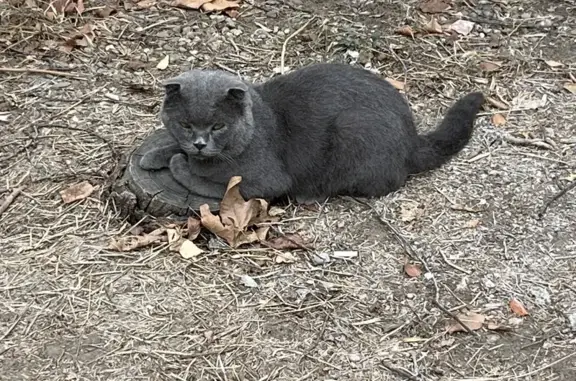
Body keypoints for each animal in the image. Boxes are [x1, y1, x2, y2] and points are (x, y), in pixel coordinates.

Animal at [141, 63, 486, 203]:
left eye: (218, 126)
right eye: (186, 125)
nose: (200, 143)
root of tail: (413, 137)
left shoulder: (267, 181)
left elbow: (218, 185)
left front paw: (179, 164)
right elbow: (176, 148)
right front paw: (153, 155)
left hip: (352, 128)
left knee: (385, 181)